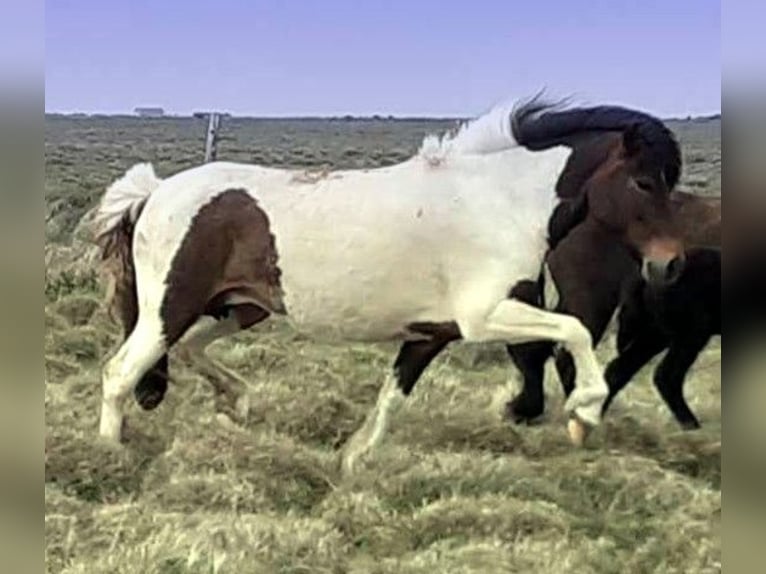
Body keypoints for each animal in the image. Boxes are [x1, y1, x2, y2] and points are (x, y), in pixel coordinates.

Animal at [93, 95, 685, 473]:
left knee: (189, 351)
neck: (499, 203)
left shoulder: (432, 333)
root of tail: (156, 192)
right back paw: (110, 453)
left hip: (239, 307)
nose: (673, 266)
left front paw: (352, 459)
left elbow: (392, 397)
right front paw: (584, 411)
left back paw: (237, 404)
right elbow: (575, 332)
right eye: (643, 182)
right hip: (172, 307)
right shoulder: (484, 316)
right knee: (120, 372)